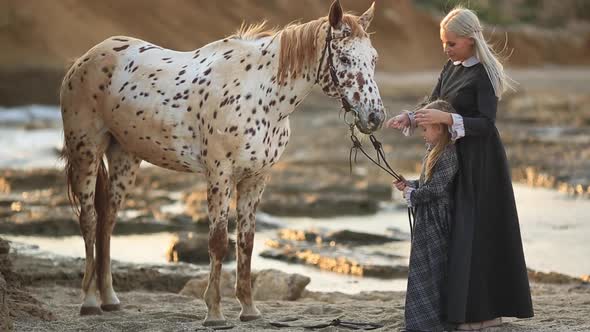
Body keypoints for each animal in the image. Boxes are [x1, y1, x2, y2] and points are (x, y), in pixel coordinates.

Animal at [59, 0, 384, 326]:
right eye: (344, 57)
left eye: (373, 58)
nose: (375, 117)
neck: (263, 96)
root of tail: (85, 59)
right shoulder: (219, 174)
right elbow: (218, 241)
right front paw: (214, 313)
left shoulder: (256, 178)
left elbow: (247, 241)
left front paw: (249, 309)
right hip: (86, 152)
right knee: (89, 219)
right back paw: (90, 302)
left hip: (124, 157)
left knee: (107, 220)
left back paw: (110, 299)